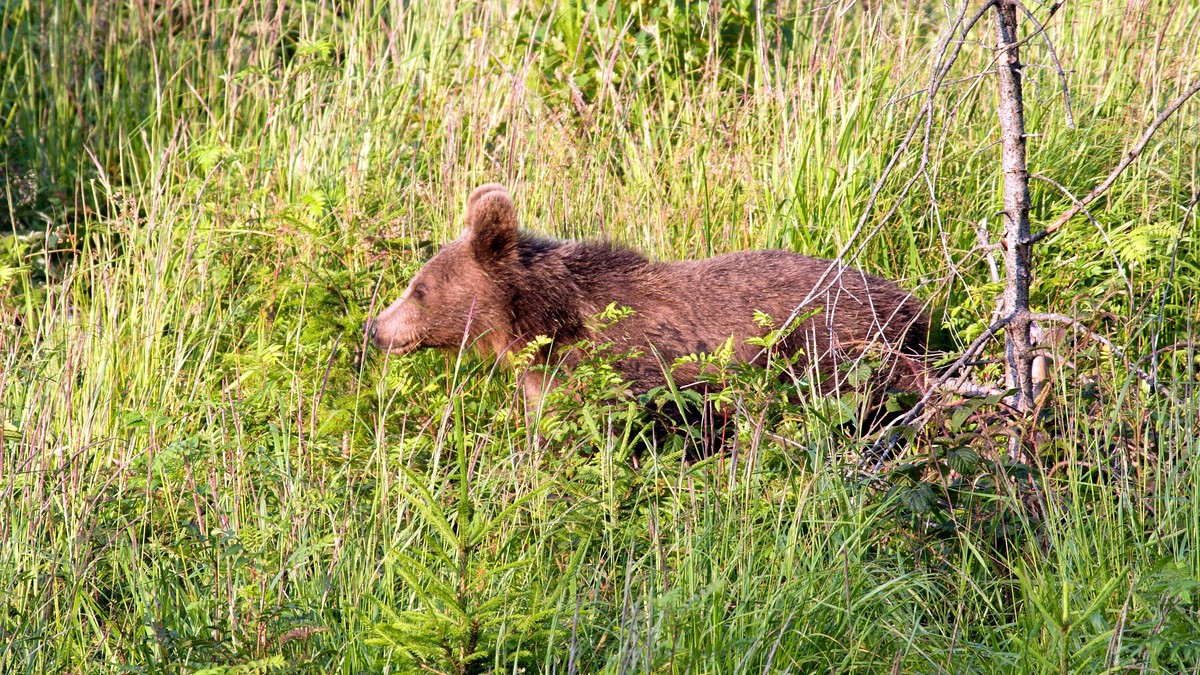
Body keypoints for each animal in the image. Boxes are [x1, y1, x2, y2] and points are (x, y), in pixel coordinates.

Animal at [369, 181, 931, 425]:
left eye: (419, 288)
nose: (375, 328)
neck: (542, 320)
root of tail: (914, 303)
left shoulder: (629, 370)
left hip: (834, 351)